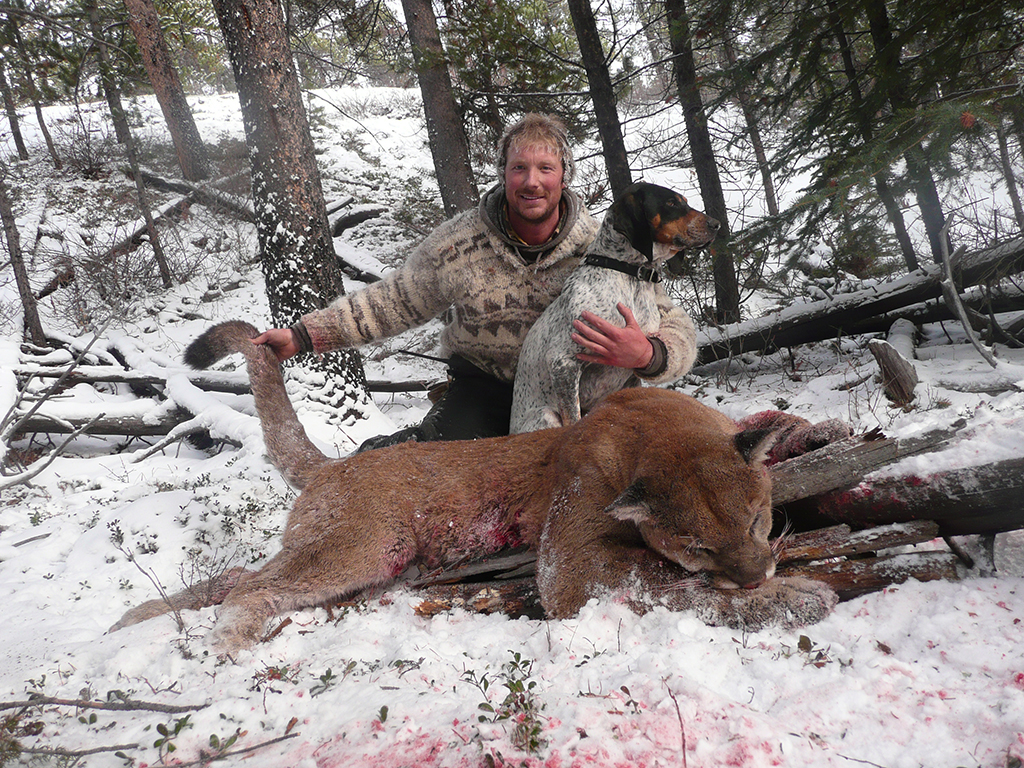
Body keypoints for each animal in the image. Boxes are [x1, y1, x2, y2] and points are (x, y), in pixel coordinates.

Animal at [512, 180, 720, 434]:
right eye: (671, 203)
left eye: (685, 202)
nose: (716, 224)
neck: (629, 274)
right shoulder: (563, 362)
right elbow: (573, 420)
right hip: (546, 415)